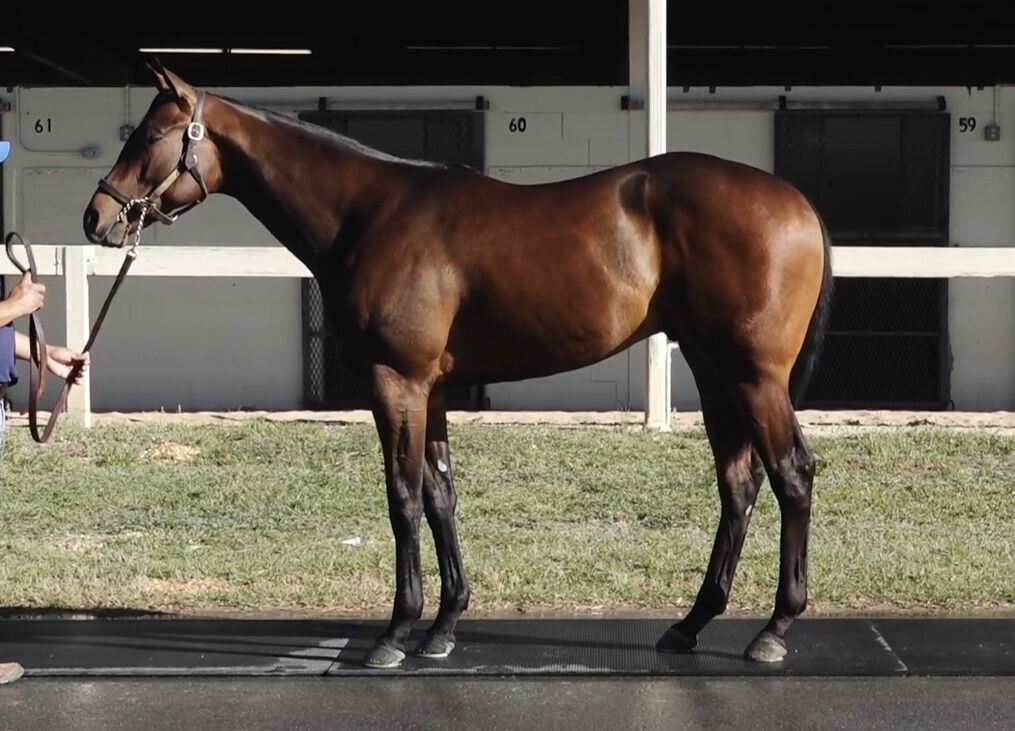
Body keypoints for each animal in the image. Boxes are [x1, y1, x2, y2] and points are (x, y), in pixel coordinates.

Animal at [82, 60, 834, 669]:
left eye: (147, 137)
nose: (96, 219)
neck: (369, 214)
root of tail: (796, 202)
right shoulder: (433, 389)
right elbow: (441, 495)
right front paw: (442, 626)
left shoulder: (396, 382)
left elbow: (403, 498)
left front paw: (394, 632)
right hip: (714, 370)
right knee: (738, 483)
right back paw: (691, 622)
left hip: (753, 375)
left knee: (791, 473)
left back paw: (773, 629)